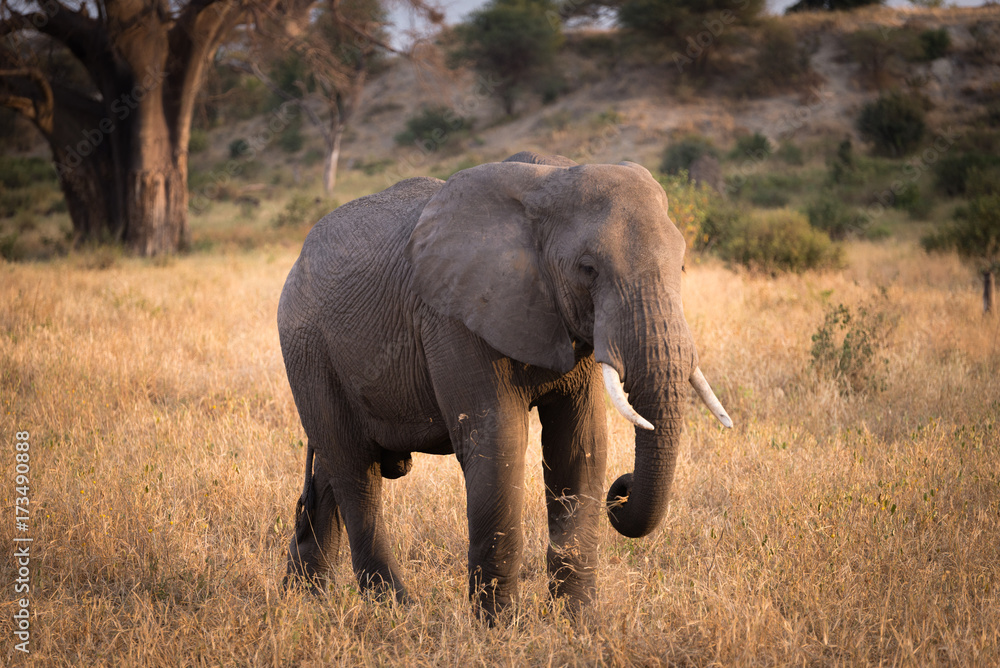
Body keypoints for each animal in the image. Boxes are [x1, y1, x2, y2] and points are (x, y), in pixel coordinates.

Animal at [278, 151, 732, 620]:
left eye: (682, 266)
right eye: (588, 269)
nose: (620, 492)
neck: (549, 180)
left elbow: (579, 444)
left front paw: (578, 622)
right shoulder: (455, 317)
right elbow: (500, 443)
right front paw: (499, 626)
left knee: (330, 469)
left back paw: (301, 600)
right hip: (308, 349)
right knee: (355, 469)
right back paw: (397, 610)